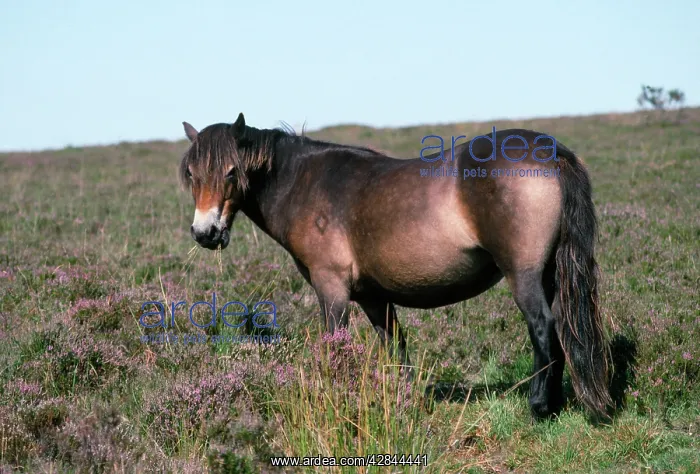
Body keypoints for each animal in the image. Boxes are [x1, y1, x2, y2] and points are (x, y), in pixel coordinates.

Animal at [178, 113, 612, 420]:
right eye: (193, 175)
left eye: (231, 171)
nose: (205, 232)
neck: (304, 184)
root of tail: (551, 152)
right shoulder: (375, 299)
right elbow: (395, 348)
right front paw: (405, 404)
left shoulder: (331, 290)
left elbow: (335, 347)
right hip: (551, 273)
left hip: (523, 275)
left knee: (544, 328)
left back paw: (539, 407)